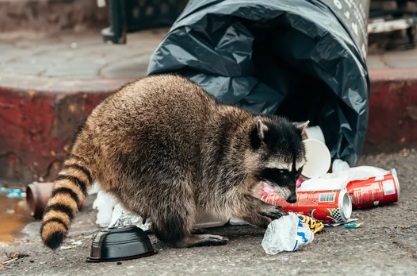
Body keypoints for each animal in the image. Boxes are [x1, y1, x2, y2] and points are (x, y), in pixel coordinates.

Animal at [40, 73, 308, 248]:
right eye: (282, 172)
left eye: (298, 172)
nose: (293, 199)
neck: (243, 136)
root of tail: (92, 129)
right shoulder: (219, 161)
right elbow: (222, 198)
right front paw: (256, 207)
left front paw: (260, 207)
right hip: (142, 154)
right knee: (171, 190)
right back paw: (179, 236)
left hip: (122, 171)